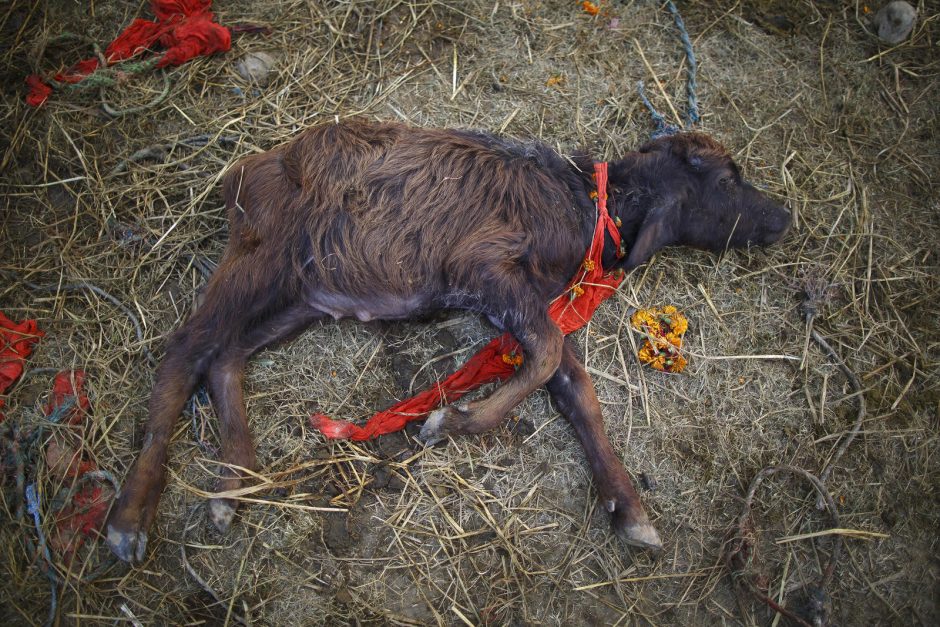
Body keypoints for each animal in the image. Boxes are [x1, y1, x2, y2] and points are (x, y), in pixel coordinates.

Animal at [106, 119, 788, 564]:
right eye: (727, 180)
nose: (784, 217)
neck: (582, 207)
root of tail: (245, 171)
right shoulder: (484, 269)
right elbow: (545, 357)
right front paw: (447, 421)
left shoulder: (521, 301)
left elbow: (573, 385)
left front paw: (632, 512)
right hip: (260, 255)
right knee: (185, 349)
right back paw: (131, 517)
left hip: (304, 294)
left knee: (225, 356)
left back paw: (232, 485)